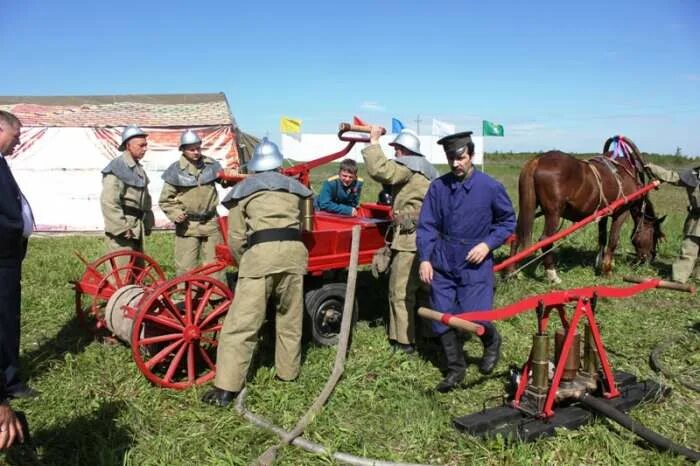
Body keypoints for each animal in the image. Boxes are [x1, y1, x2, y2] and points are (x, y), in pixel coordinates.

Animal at [508, 151, 660, 282]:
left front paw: (599, 263)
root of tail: (538, 160)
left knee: (517, 235)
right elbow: (613, 240)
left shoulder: (603, 213)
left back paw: (512, 272)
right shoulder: (621, 212)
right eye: (653, 234)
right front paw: (607, 270)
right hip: (553, 213)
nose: (649, 258)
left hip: (529, 207)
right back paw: (552, 275)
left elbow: (602, 238)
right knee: (545, 240)